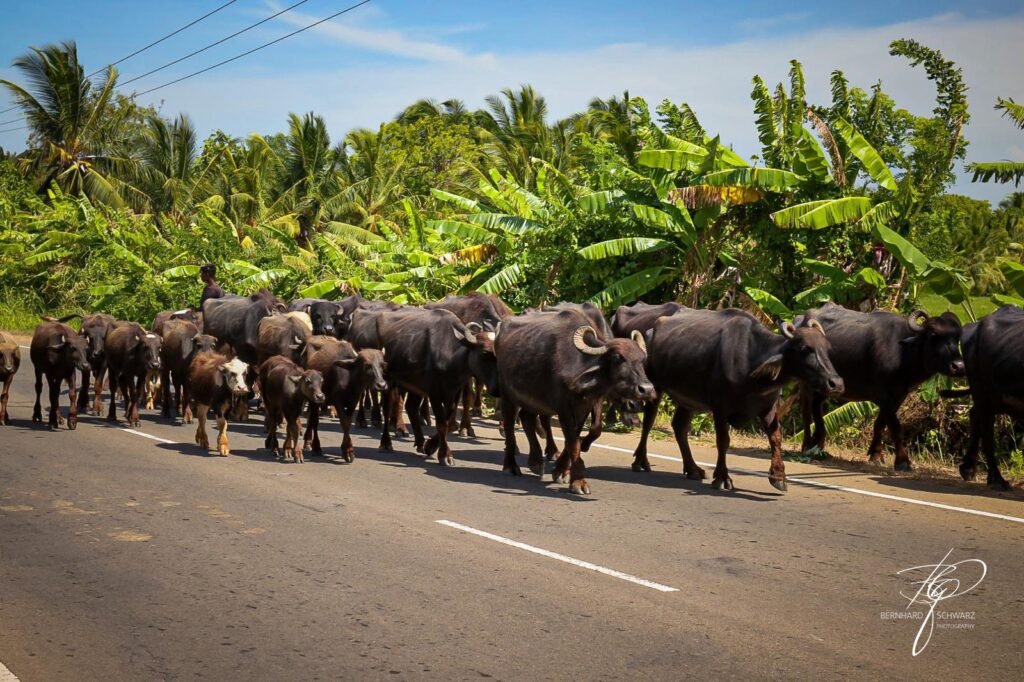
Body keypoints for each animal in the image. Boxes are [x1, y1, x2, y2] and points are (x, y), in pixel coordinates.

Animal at [378, 307, 501, 462]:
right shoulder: (434, 393)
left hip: (415, 385)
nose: (498, 387)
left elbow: (447, 420)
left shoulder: (454, 393)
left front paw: (430, 446)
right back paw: (386, 443)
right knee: (387, 409)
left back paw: (420, 442)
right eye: (485, 352)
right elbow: (441, 422)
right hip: (388, 380)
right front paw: (445, 454)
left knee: (411, 407)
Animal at [497, 309, 655, 493]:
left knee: (527, 418)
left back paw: (536, 462)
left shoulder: (586, 405)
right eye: (618, 357)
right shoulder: (564, 407)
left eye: (642, 359)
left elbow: (582, 435)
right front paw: (578, 481)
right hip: (508, 396)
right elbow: (573, 441)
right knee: (509, 426)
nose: (646, 389)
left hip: (533, 398)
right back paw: (511, 466)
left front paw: (561, 470)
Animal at [634, 307, 843, 489]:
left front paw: (778, 476)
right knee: (649, 421)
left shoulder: (769, 407)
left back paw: (692, 469)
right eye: (805, 349)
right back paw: (641, 461)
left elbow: (776, 438)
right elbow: (723, 441)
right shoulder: (720, 407)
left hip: (688, 399)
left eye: (827, 348)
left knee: (679, 426)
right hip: (653, 386)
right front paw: (722, 478)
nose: (836, 383)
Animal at [798, 301, 958, 466]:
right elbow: (895, 426)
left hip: (827, 386)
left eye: (957, 338)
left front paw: (875, 454)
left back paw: (819, 445)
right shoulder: (884, 395)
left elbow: (880, 424)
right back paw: (806, 446)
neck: (903, 351)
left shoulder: (899, 396)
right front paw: (902, 461)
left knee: (817, 408)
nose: (958, 365)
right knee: (806, 412)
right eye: (933, 335)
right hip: (805, 384)